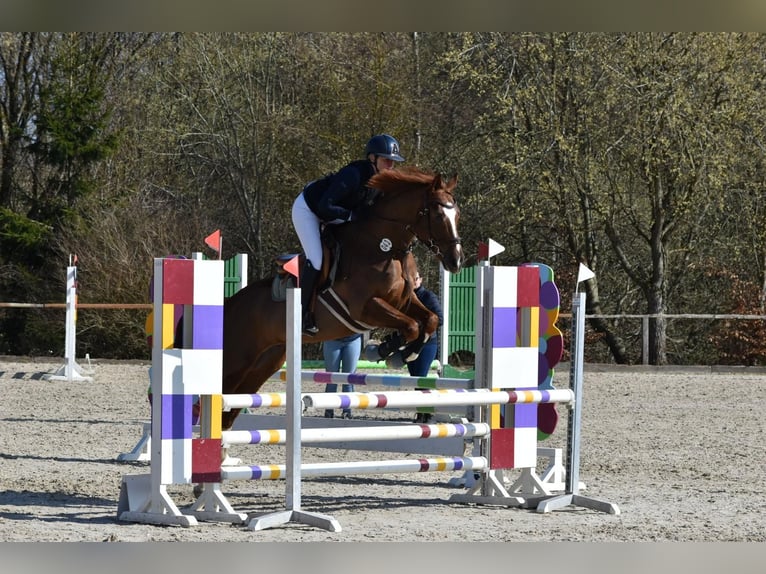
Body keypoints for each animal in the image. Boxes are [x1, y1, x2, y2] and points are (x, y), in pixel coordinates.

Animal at [220, 167, 464, 431]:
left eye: (457, 214)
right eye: (438, 215)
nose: (456, 261)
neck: (385, 247)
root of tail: (230, 304)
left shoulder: (404, 302)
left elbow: (429, 320)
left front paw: (404, 352)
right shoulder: (365, 308)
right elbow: (410, 326)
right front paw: (387, 349)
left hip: (265, 364)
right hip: (235, 362)